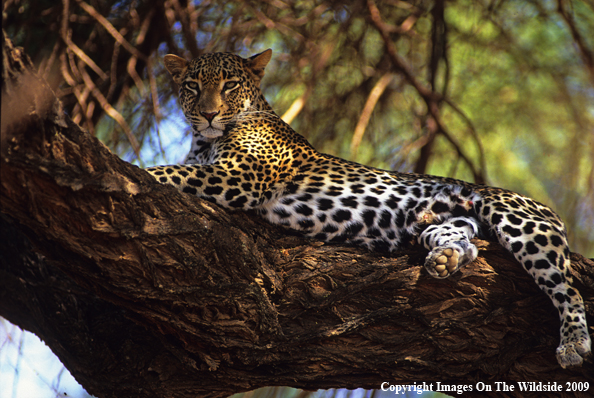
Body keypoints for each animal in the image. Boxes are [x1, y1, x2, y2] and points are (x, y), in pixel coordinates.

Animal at [147, 49, 588, 366]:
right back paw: (445, 258)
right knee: (462, 240)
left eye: (230, 85)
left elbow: (166, 172)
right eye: (192, 86)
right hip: (444, 221)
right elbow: (174, 169)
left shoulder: (238, 177)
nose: (208, 114)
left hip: (520, 221)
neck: (205, 142)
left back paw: (574, 343)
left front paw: (134, 171)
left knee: (568, 287)